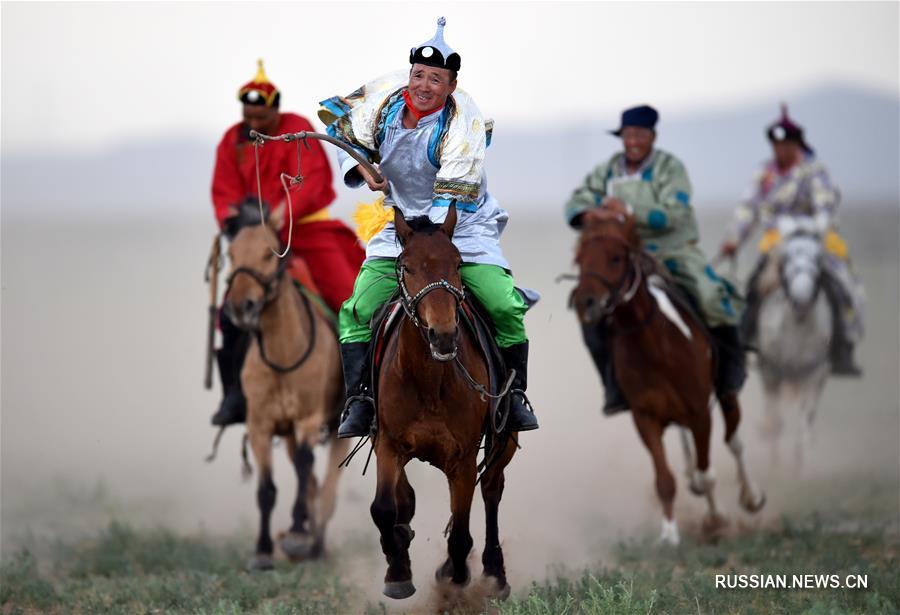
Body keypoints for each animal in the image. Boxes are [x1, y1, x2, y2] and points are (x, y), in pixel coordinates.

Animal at [223, 209, 350, 572]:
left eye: (268, 254)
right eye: (231, 254)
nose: (241, 306)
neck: (283, 354)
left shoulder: (308, 419)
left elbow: (307, 466)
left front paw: (296, 533)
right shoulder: (260, 426)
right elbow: (267, 489)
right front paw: (264, 550)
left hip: (338, 430)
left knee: (327, 490)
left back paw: (315, 544)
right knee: (313, 484)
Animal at [370, 205, 516, 600]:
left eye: (457, 263)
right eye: (406, 266)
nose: (444, 334)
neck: (428, 383)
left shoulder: (461, 459)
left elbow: (462, 532)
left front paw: (456, 579)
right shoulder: (388, 444)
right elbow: (387, 507)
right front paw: (397, 569)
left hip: (506, 439)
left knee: (492, 489)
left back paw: (494, 573)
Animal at [572, 209, 764, 548]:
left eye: (615, 257)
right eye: (580, 259)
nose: (586, 303)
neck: (656, 345)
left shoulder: (700, 413)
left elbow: (708, 471)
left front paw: (717, 519)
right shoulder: (645, 418)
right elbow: (664, 479)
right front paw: (669, 534)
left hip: (725, 395)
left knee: (734, 442)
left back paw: (751, 497)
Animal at [752, 214, 828, 470]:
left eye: (819, 258)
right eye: (786, 258)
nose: (802, 300)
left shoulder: (816, 372)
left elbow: (805, 420)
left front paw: (802, 466)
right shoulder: (771, 371)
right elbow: (775, 420)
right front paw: (774, 466)